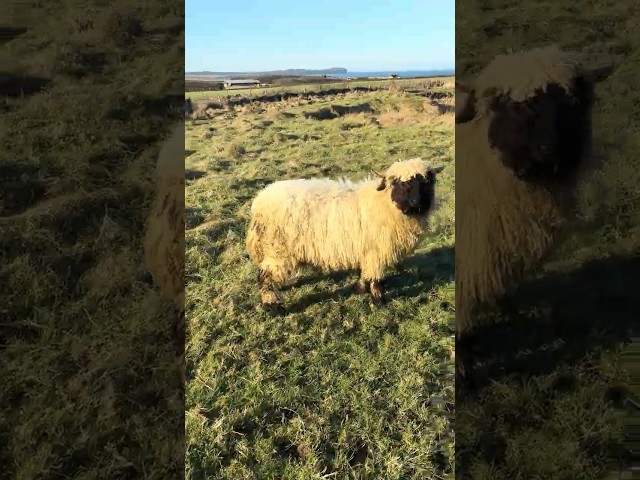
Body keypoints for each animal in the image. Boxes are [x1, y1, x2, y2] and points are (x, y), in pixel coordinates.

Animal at [245, 159, 444, 314]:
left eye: (426, 183)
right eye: (401, 183)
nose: (416, 203)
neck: (384, 203)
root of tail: (259, 202)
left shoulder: (367, 251)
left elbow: (366, 273)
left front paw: (360, 288)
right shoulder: (376, 251)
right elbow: (376, 278)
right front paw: (378, 300)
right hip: (278, 250)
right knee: (265, 278)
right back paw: (273, 306)